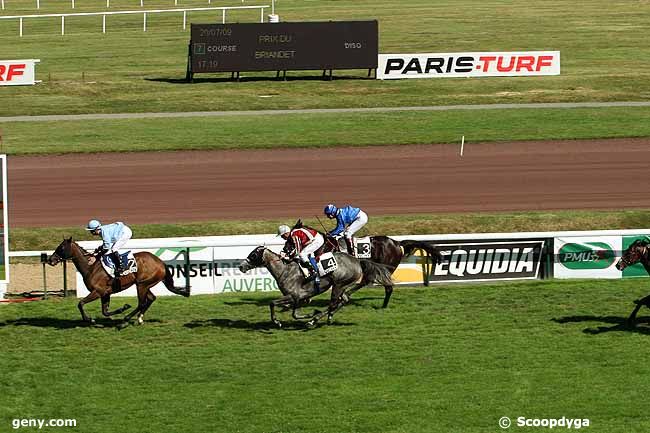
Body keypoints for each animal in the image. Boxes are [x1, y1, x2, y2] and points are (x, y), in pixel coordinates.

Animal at [46, 236, 189, 324]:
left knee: (142, 303)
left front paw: (89, 319)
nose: (50, 259)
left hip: (142, 285)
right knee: (151, 299)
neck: (91, 267)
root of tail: (160, 262)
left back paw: (126, 319)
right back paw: (139, 318)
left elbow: (80, 303)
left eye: (61, 248)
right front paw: (121, 309)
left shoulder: (98, 291)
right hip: (144, 284)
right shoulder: (105, 293)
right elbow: (105, 311)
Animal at [237, 245, 390, 326]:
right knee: (343, 300)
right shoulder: (299, 298)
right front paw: (311, 313)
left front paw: (277, 322)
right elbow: (294, 313)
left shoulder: (293, 296)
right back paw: (327, 317)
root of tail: (357, 261)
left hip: (338, 284)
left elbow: (273, 303)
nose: (240, 266)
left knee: (333, 303)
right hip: (342, 286)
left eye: (253, 255)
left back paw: (314, 321)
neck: (284, 270)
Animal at [284, 223, 440, 308]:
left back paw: (382, 305)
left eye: (290, 238)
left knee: (384, 286)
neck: (324, 245)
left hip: (385, 268)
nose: (284, 250)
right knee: (367, 281)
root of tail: (397, 243)